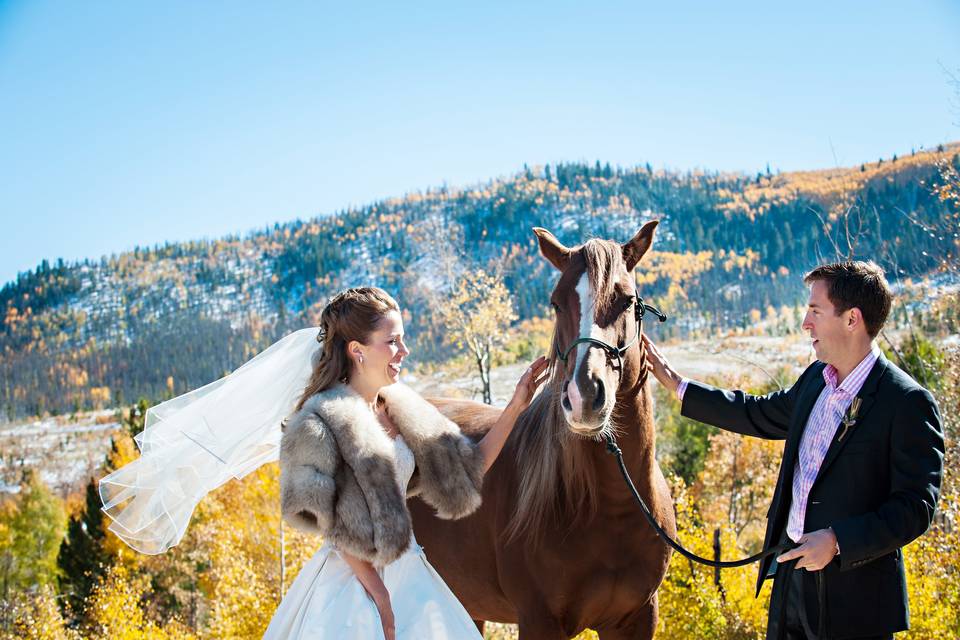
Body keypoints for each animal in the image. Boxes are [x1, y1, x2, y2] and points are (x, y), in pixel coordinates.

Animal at [410, 221, 676, 640]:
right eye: (555, 302)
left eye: (628, 301)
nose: (584, 395)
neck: (609, 509)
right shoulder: (538, 620)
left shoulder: (638, 618)